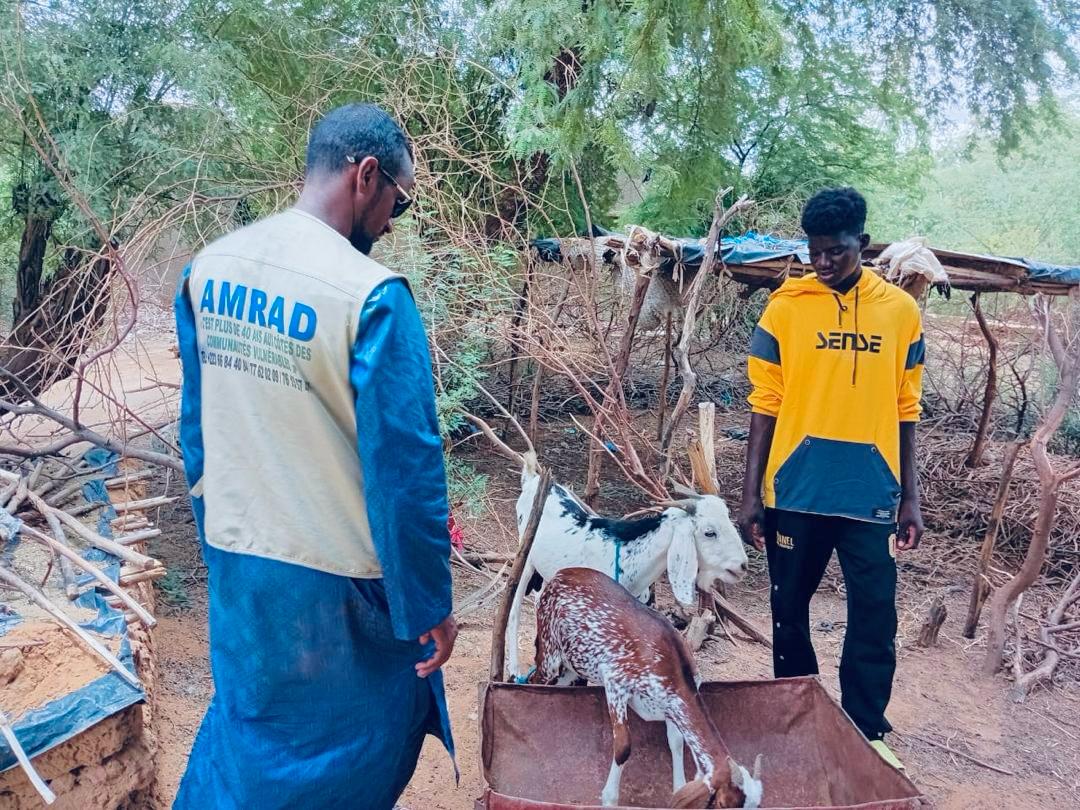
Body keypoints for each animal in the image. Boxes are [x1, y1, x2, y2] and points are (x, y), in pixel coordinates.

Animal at [506, 453, 749, 679]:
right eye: (709, 532)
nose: (743, 565)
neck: (626, 557)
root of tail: (532, 479)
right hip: (525, 557)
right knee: (515, 604)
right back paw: (514, 667)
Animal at [529, 567, 763, 808]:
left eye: (756, 805)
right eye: (723, 804)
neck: (672, 665)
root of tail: (559, 574)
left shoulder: (672, 704)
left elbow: (676, 742)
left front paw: (677, 787)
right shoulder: (616, 682)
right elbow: (623, 747)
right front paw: (609, 798)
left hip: (572, 664)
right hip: (549, 650)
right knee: (536, 679)